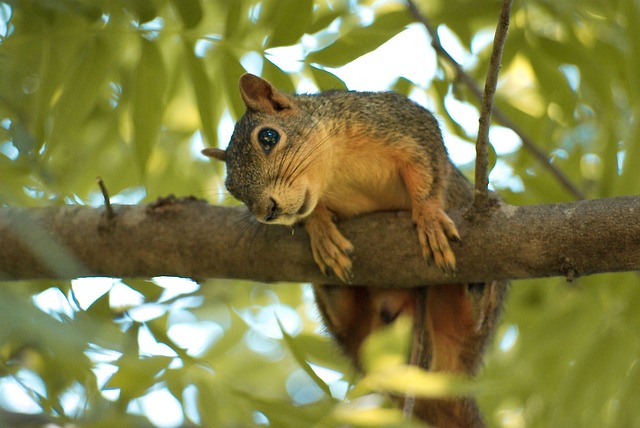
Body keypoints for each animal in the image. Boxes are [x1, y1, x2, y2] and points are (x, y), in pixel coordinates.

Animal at [202, 74, 508, 428]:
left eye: (268, 137)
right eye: (232, 189)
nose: (268, 212)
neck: (334, 171)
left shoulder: (403, 123)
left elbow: (428, 171)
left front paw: (429, 216)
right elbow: (312, 213)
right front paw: (320, 229)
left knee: (473, 321)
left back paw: (478, 286)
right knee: (348, 318)